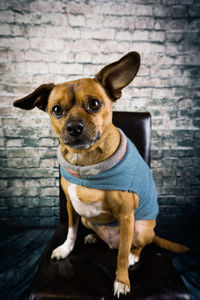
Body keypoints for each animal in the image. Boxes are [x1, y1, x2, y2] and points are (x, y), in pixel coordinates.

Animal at [13, 52, 188, 298]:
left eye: (94, 104)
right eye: (56, 109)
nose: (74, 127)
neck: (86, 163)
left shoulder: (126, 217)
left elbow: (121, 257)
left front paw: (121, 281)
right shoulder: (71, 205)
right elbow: (71, 231)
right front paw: (66, 249)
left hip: (142, 228)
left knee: (136, 245)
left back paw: (133, 254)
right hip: (88, 217)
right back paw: (94, 236)